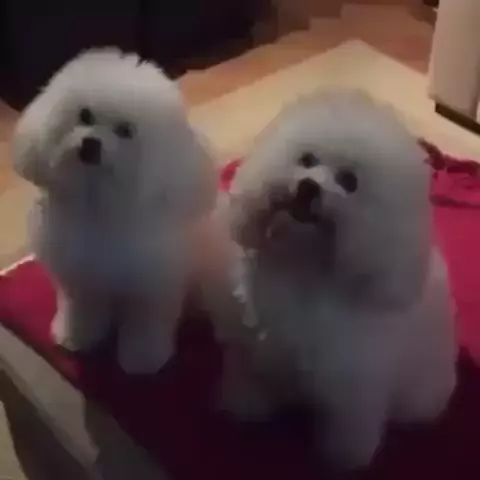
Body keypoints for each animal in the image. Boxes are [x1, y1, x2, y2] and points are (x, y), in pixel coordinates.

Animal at [13, 49, 216, 374]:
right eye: (85, 115)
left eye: (125, 131)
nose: (90, 143)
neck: (99, 201)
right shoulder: (80, 280)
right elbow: (82, 312)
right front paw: (76, 338)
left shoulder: (150, 290)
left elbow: (145, 328)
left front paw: (143, 359)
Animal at [212, 90, 457, 468]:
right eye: (307, 159)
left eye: (349, 182)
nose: (308, 187)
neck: (304, 268)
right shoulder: (254, 351)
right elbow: (250, 380)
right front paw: (246, 408)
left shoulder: (353, 390)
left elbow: (348, 432)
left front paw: (342, 460)